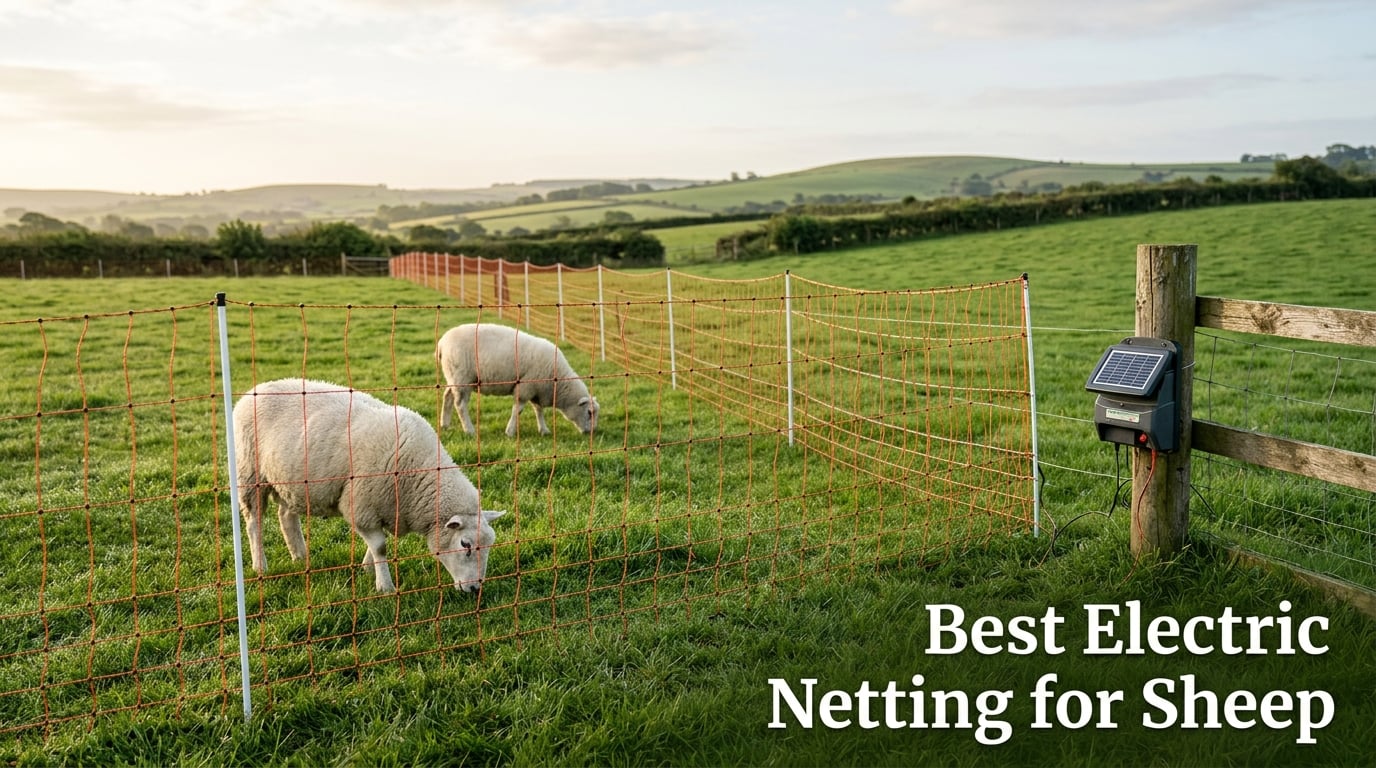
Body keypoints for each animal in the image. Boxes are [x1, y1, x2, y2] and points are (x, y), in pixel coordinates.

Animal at [233, 378, 506, 594]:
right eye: (465, 545)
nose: (475, 588)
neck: (418, 475)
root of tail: (254, 391)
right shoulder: (361, 504)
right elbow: (380, 547)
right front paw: (384, 586)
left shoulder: (384, 507)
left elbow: (375, 545)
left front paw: (367, 568)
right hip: (250, 473)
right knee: (254, 523)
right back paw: (260, 565)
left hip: (292, 482)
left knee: (286, 516)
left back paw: (300, 557)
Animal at [436, 323, 599, 438]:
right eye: (589, 412)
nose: (593, 432)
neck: (558, 383)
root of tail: (442, 343)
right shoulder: (526, 387)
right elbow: (518, 410)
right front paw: (510, 432)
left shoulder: (536, 389)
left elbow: (538, 410)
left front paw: (543, 430)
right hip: (462, 378)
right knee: (460, 405)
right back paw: (469, 430)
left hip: (453, 377)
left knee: (447, 397)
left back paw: (445, 424)